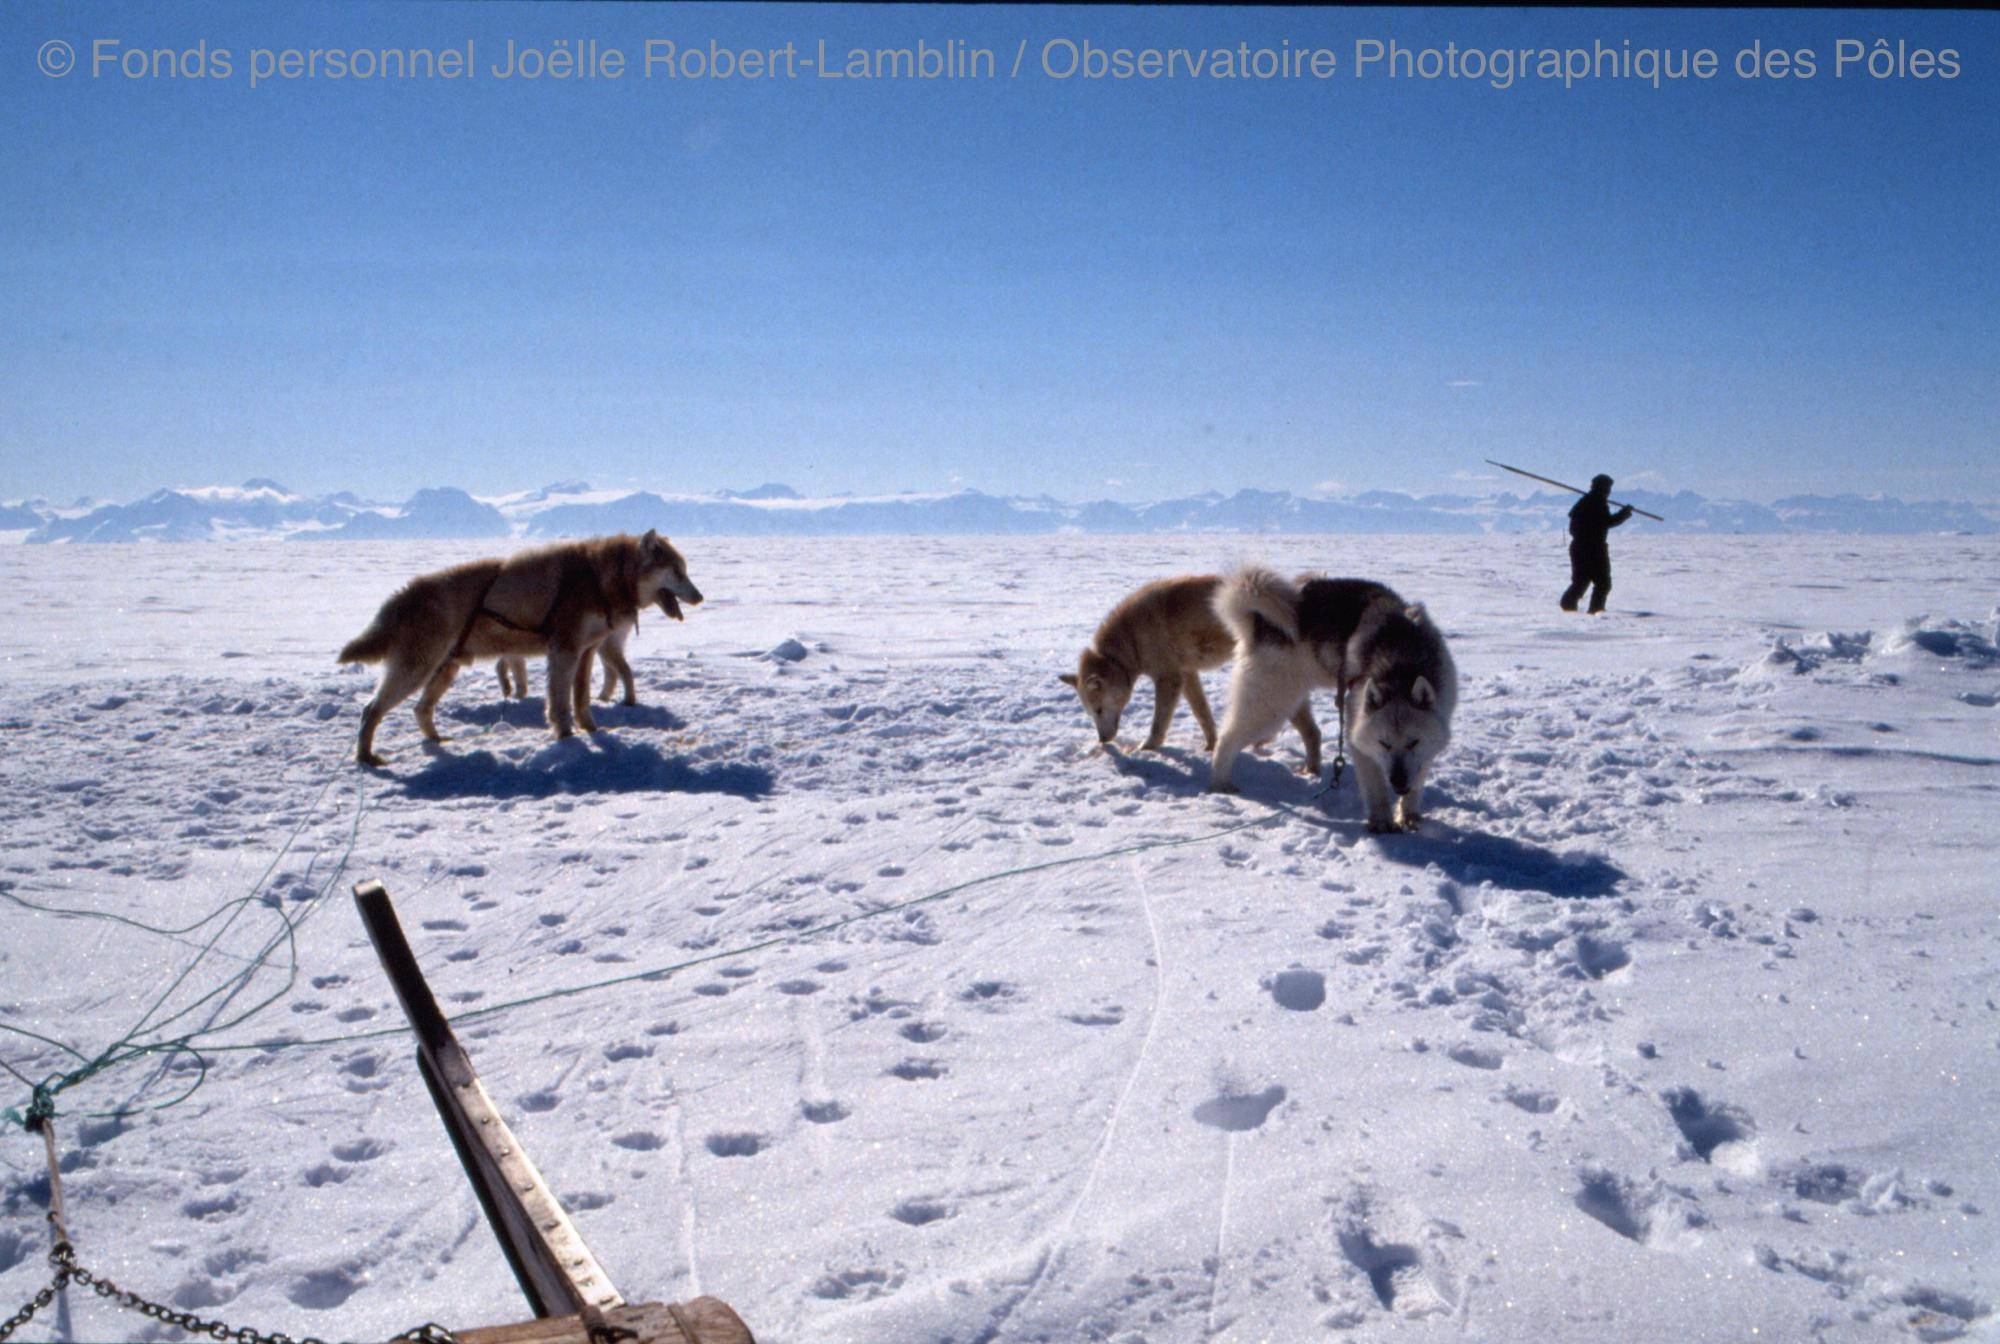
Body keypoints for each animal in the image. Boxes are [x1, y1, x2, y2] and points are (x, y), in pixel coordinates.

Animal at [336, 532, 696, 768]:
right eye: (678, 571)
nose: (701, 596)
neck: (599, 576)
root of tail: (404, 595)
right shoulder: (564, 651)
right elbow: (560, 704)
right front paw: (566, 737)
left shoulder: (586, 653)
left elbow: (581, 700)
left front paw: (592, 730)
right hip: (415, 670)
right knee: (370, 710)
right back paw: (366, 757)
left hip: (443, 672)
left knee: (420, 709)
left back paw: (436, 741)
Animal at [1064, 576, 1328, 772]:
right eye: (1090, 713)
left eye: (1098, 710)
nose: (1102, 740)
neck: (1128, 643)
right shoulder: (1188, 676)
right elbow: (1203, 715)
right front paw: (1211, 744)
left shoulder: (1169, 679)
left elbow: (1158, 724)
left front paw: (1147, 748)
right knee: (1312, 731)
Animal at [1200, 568, 1456, 828]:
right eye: (1383, 743)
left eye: (1414, 742)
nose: (1398, 780)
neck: (1401, 662)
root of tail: (1259, 622)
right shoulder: (1358, 735)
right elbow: (1376, 787)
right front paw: (1382, 822)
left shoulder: (1433, 733)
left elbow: (1418, 778)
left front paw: (1408, 814)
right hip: (1270, 703)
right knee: (1228, 739)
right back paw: (1220, 782)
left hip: (1291, 698)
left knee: (1311, 733)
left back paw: (1311, 769)